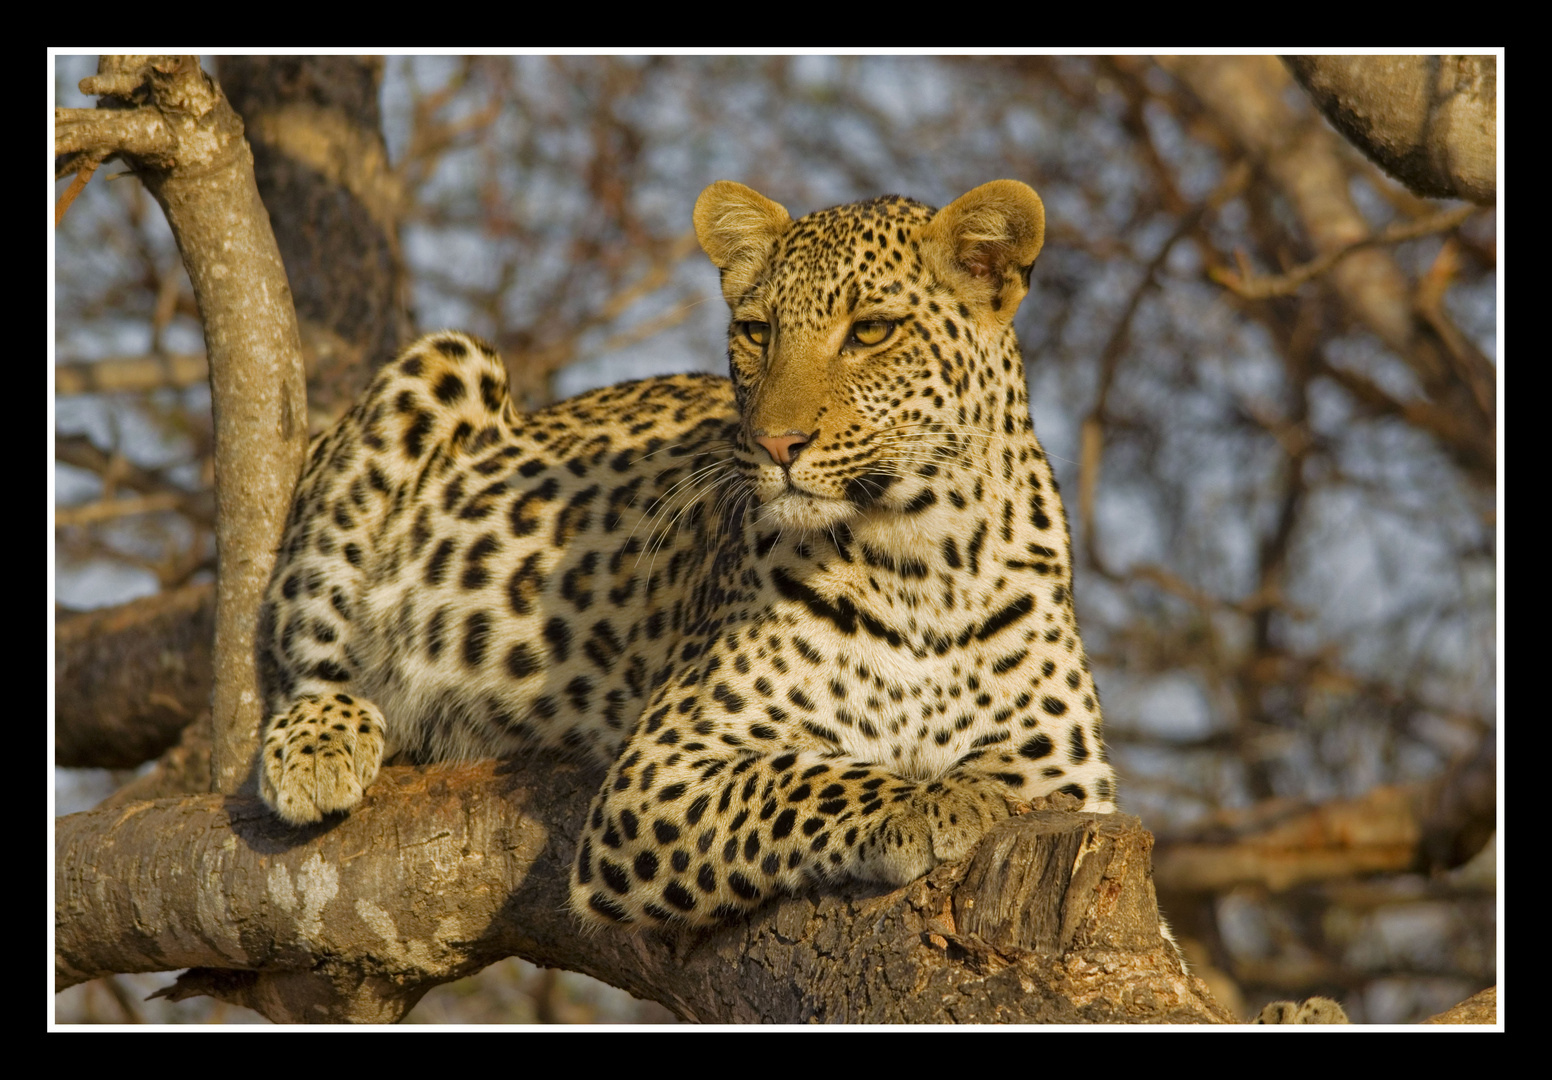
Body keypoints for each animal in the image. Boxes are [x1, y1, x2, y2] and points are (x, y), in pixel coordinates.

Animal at [260, 176, 1123, 931]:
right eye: (757, 331)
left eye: (872, 331)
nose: (776, 444)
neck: (922, 558)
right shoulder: (661, 770)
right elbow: (809, 779)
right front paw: (931, 799)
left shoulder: (1070, 777)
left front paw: (960, 785)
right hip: (441, 368)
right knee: (297, 642)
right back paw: (320, 746)